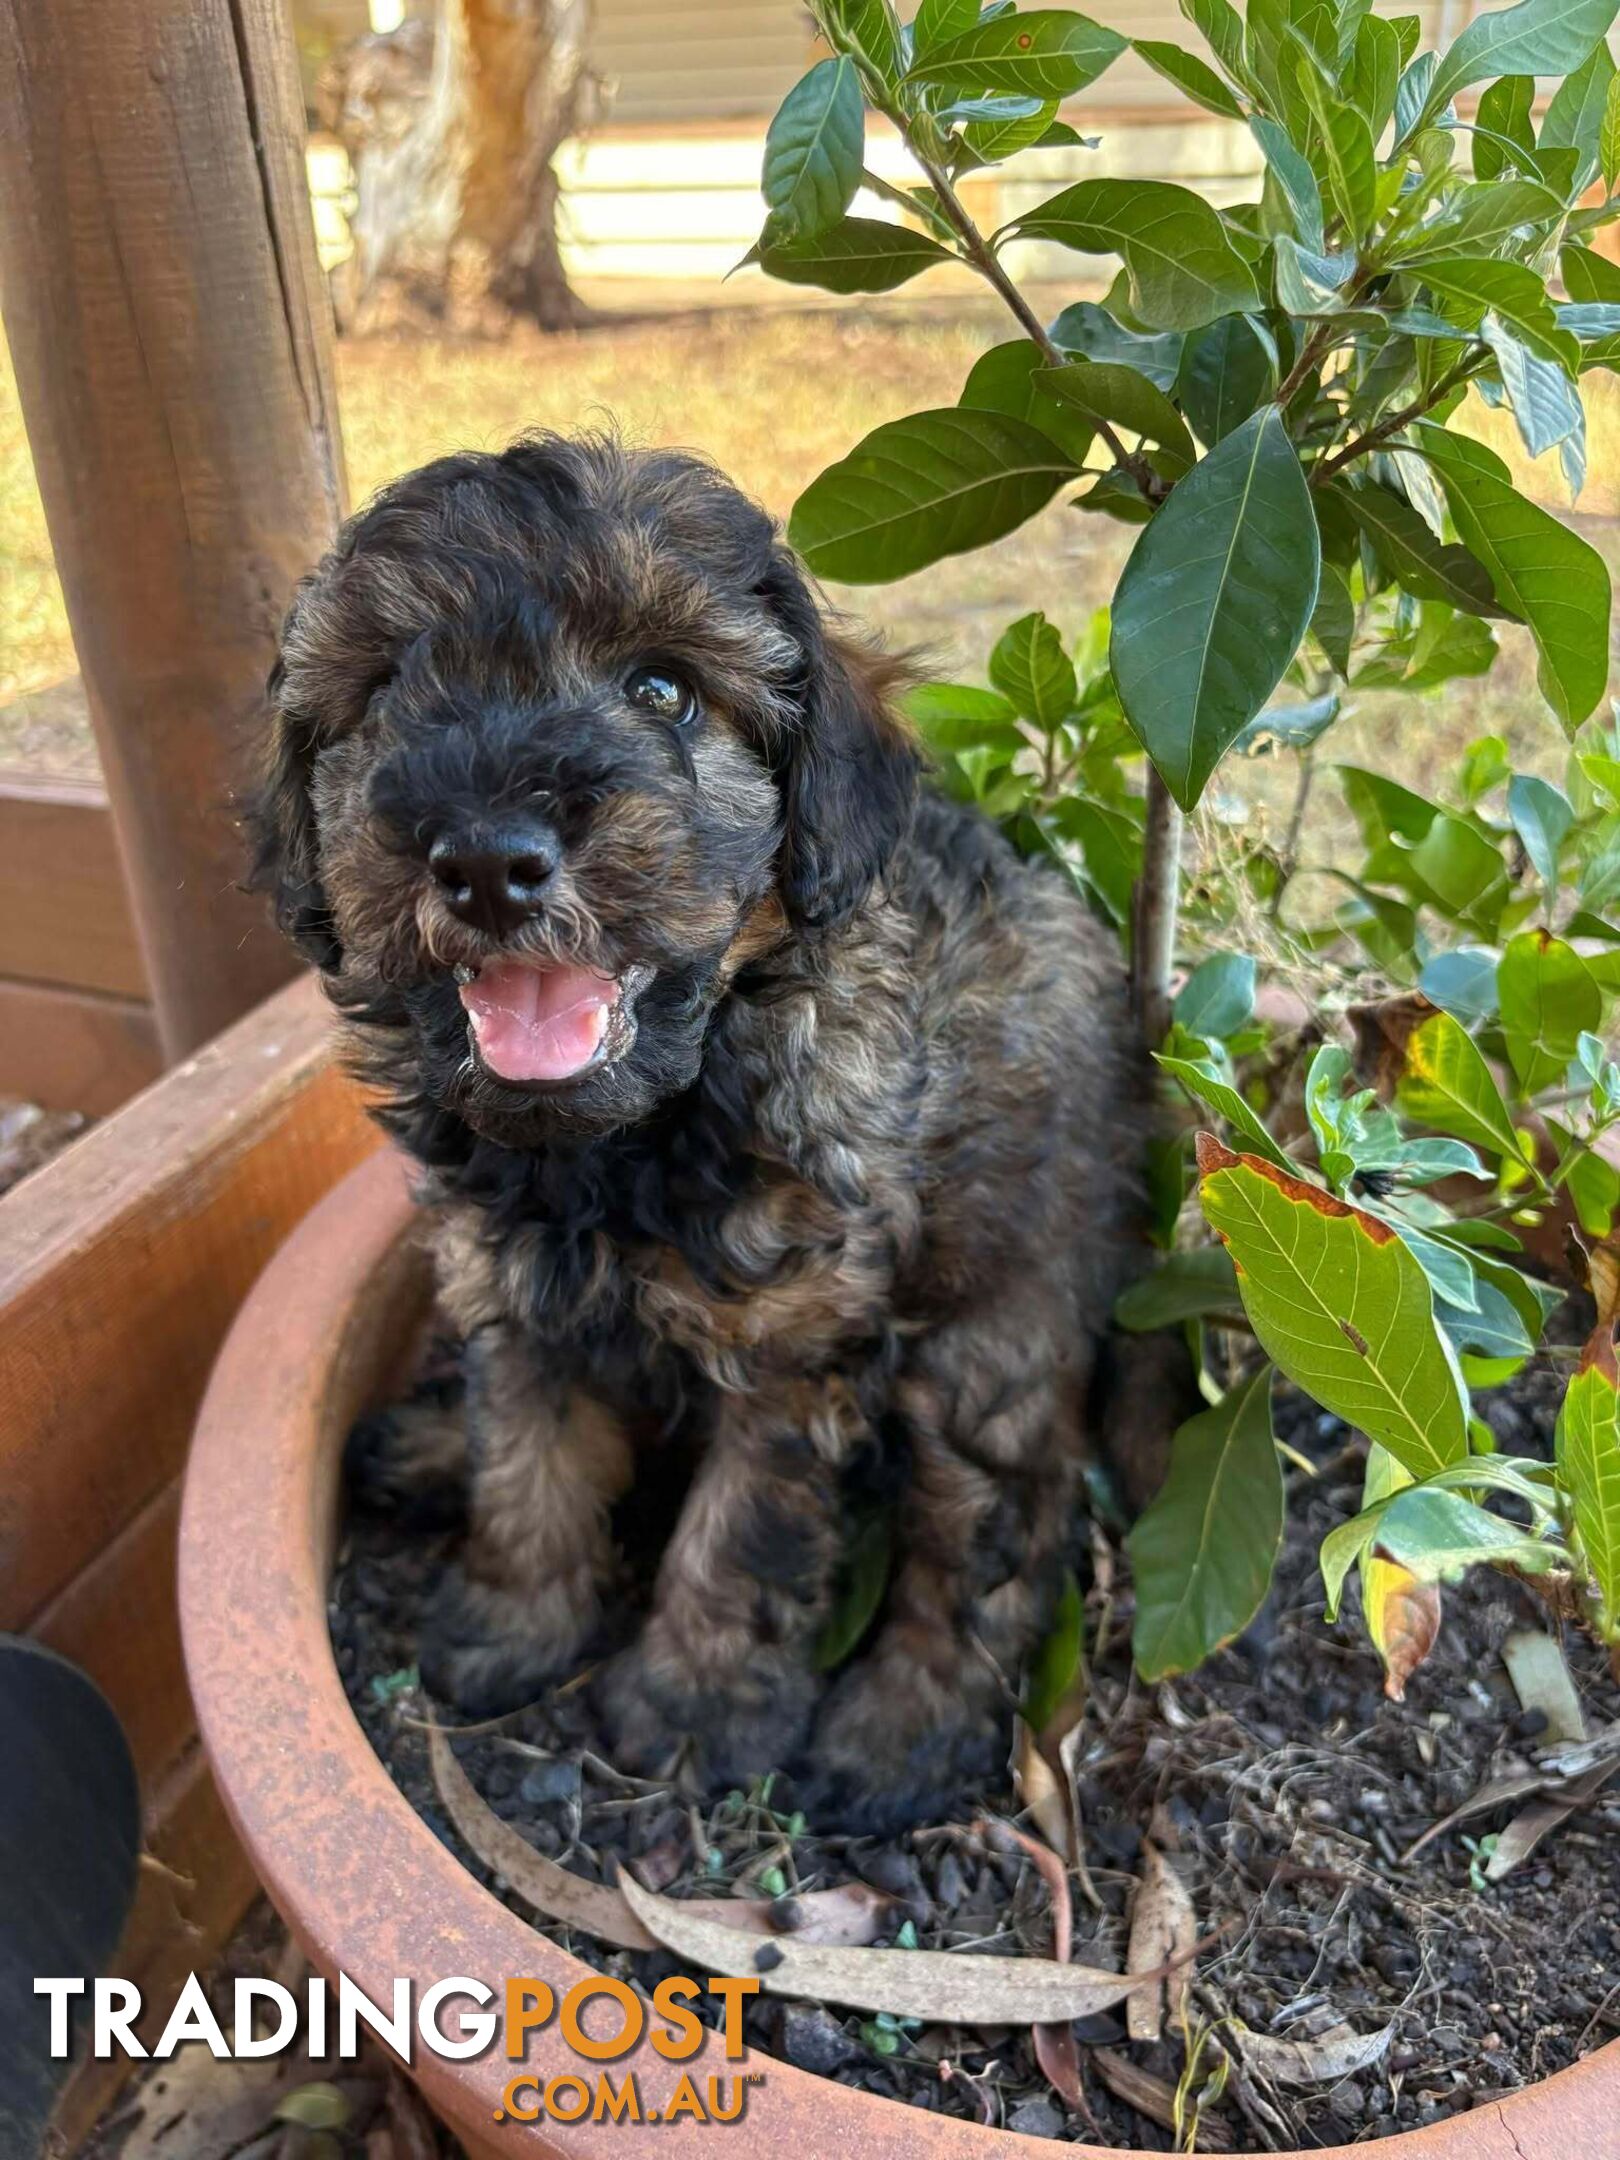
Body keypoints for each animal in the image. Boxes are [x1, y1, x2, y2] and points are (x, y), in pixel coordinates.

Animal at [253, 429, 1157, 1831]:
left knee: (997, 1529)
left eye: (664, 691)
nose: (488, 861)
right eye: (392, 687)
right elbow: (527, 1456)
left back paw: (900, 1732)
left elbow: (744, 1531)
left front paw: (693, 1707)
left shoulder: (790, 1337)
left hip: (989, 1333)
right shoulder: (511, 1280)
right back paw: (425, 1448)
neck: (621, 1144)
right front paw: (509, 1620)